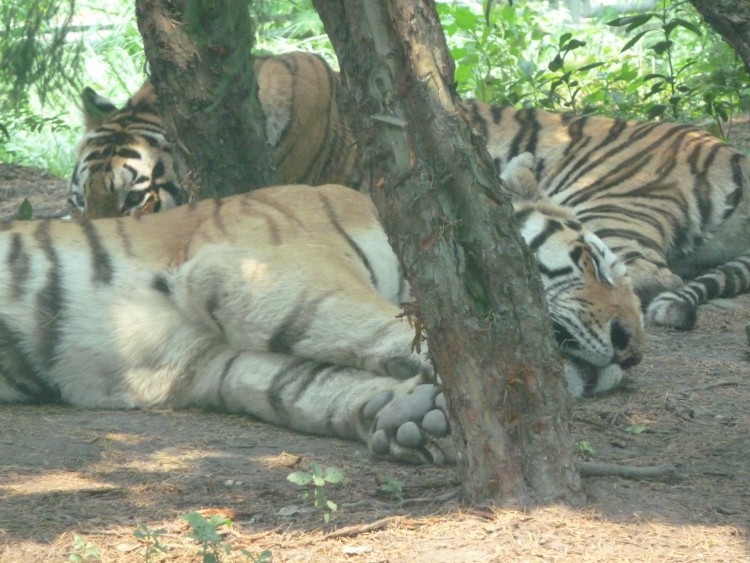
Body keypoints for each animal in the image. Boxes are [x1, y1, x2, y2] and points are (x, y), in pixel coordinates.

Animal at [1, 184, 648, 462]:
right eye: (591, 262)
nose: (632, 350)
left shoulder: (212, 361)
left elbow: (309, 383)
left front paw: (417, 419)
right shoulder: (268, 264)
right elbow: (384, 327)